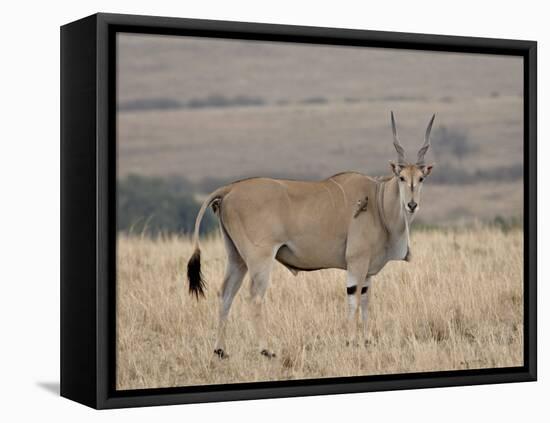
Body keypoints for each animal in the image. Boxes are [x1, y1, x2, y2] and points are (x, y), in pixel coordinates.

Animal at [188, 112, 438, 358]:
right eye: (401, 177)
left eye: (421, 178)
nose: (412, 205)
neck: (378, 201)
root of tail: (230, 189)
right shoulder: (356, 262)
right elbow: (354, 299)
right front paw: (351, 341)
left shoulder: (367, 270)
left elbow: (366, 300)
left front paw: (367, 341)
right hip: (260, 258)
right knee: (255, 297)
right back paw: (266, 349)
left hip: (236, 258)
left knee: (225, 294)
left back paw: (220, 350)